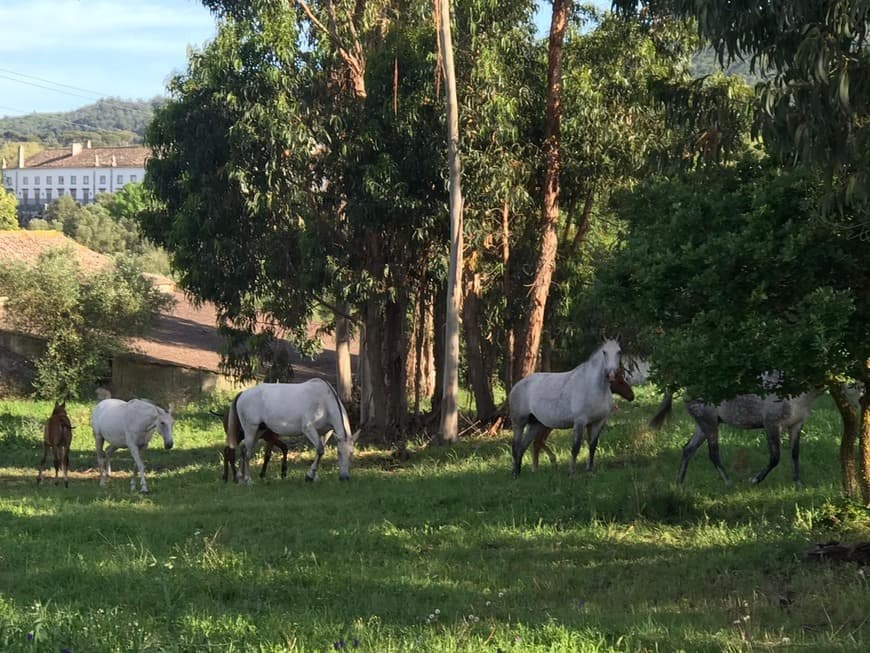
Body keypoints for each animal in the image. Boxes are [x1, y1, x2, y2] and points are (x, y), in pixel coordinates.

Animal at [230, 380, 360, 482]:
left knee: (244, 451)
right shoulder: (308, 429)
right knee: (247, 453)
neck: (324, 402)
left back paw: (241, 479)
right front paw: (309, 476)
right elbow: (320, 450)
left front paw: (314, 477)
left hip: (259, 431)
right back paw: (248, 480)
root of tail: (242, 394)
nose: (344, 478)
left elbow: (319, 451)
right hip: (251, 429)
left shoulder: (324, 432)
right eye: (339, 453)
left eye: (351, 453)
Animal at [510, 338, 628, 476]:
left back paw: (519, 473)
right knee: (516, 446)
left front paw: (590, 471)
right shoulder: (580, 422)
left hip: (534, 424)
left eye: (619, 351)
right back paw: (515, 475)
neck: (593, 387)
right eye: (604, 352)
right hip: (519, 423)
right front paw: (572, 473)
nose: (611, 374)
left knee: (523, 447)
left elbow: (592, 446)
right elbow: (575, 448)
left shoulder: (598, 422)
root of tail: (517, 385)